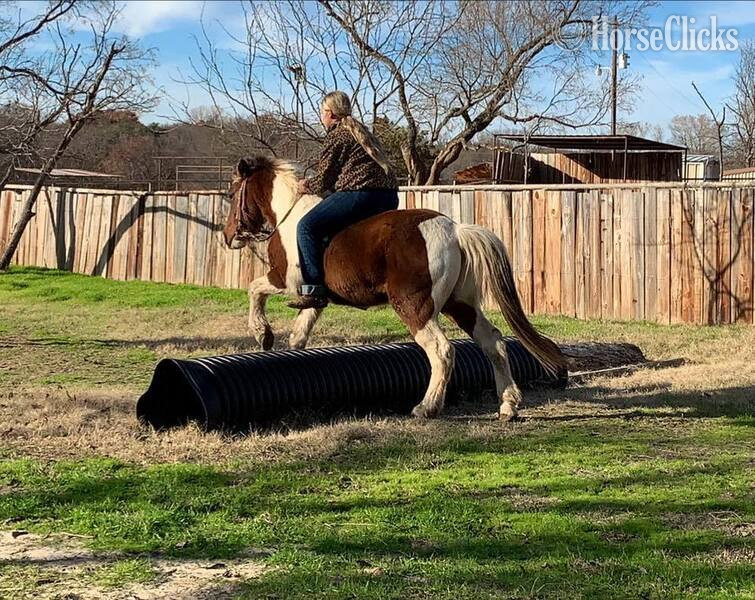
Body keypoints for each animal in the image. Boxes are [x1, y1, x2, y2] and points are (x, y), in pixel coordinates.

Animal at [223, 155, 565, 421]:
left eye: (232, 192)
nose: (228, 237)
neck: (289, 215)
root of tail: (455, 230)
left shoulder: (284, 281)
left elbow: (254, 289)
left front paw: (262, 333)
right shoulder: (314, 299)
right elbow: (299, 334)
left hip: (415, 308)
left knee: (441, 350)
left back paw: (426, 407)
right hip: (460, 304)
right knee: (493, 342)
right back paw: (508, 405)